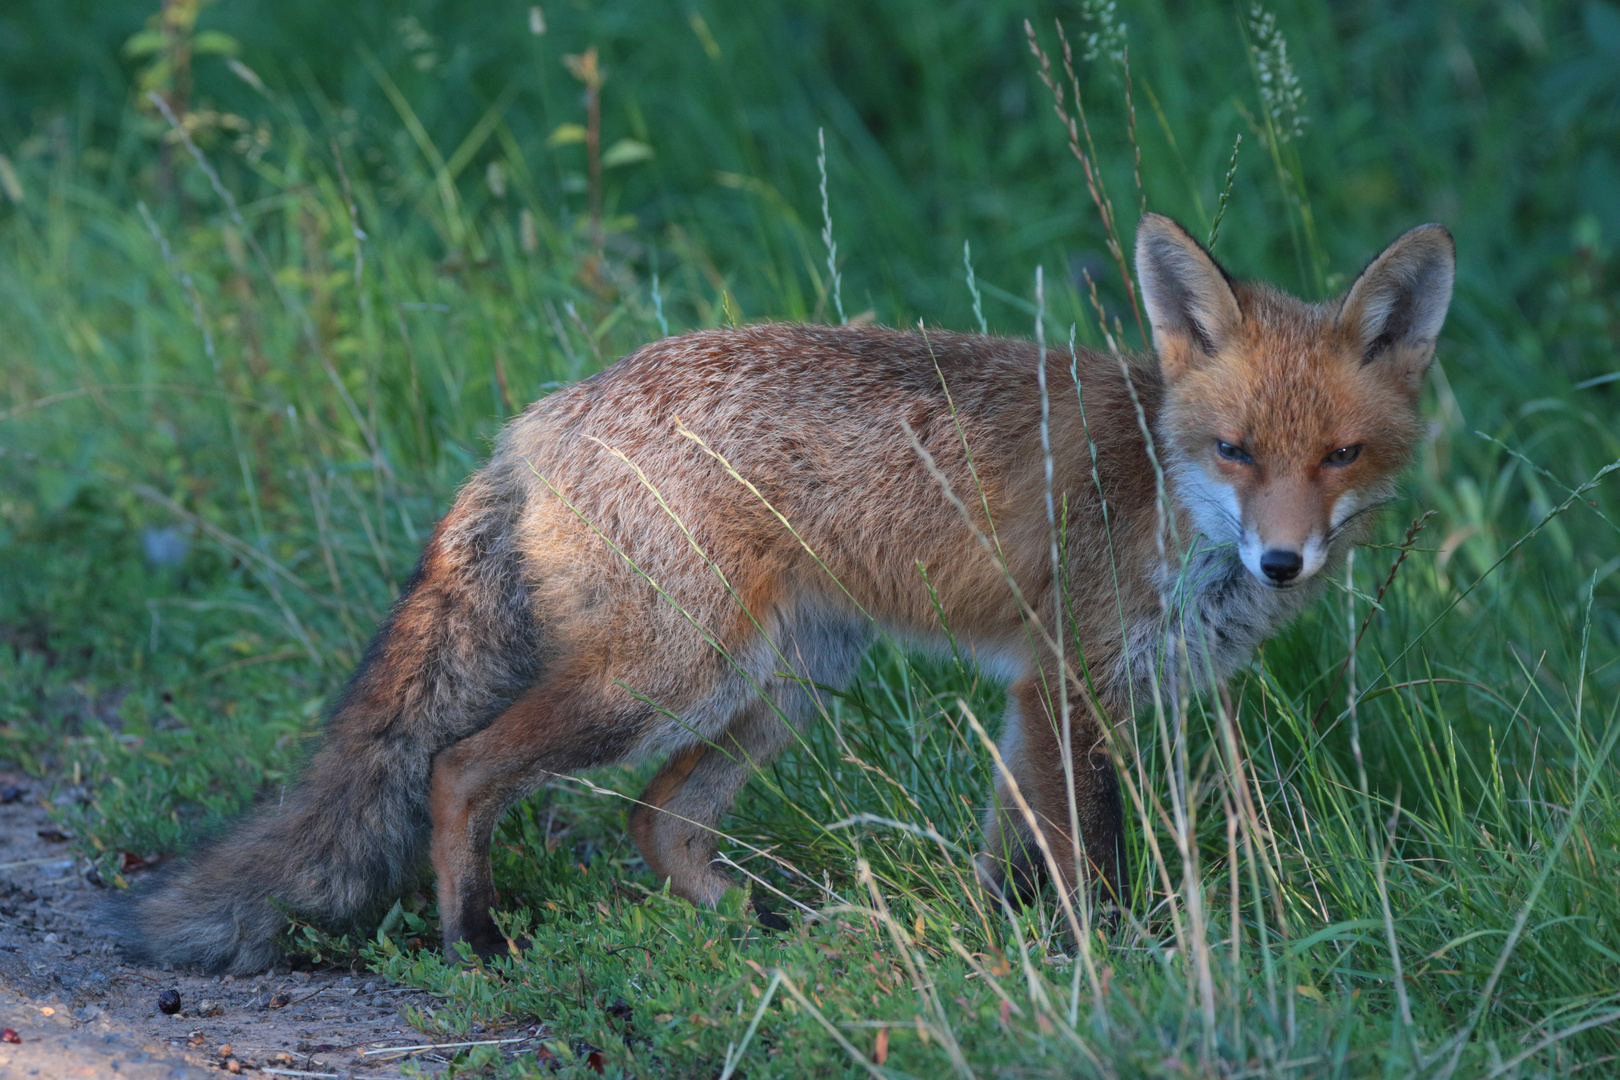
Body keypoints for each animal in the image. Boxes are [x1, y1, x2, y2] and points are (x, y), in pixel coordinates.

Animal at [114, 215, 1458, 977]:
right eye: (1236, 452)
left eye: (1339, 457)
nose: (1284, 563)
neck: (1162, 493)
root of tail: (538, 418)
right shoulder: (1070, 687)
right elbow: (1083, 863)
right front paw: (1106, 975)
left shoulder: (1043, 698)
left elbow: (1014, 856)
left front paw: (1007, 961)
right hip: (671, 679)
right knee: (458, 767)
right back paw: (474, 942)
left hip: (786, 684)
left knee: (657, 822)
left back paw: (759, 935)